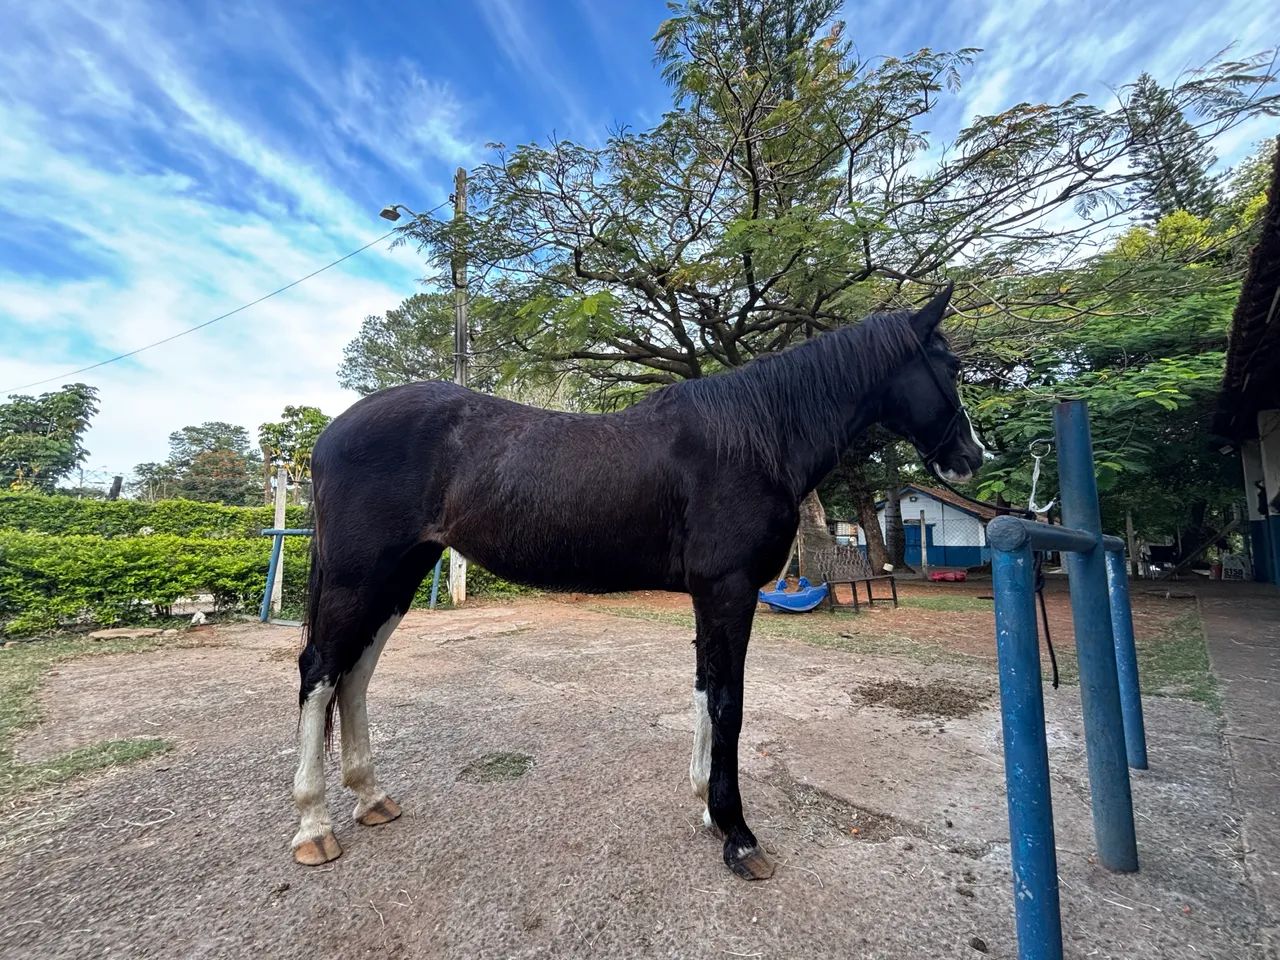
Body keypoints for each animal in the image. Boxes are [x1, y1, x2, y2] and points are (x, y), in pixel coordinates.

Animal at [290, 283, 983, 880]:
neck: (754, 438)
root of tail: (330, 435)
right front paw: (738, 836)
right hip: (358, 577)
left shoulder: (712, 597)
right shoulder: (729, 590)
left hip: (396, 577)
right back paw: (315, 826)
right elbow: (728, 703)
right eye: (948, 365)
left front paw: (708, 808)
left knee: (354, 674)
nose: (971, 457)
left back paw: (371, 798)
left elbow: (705, 692)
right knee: (320, 673)